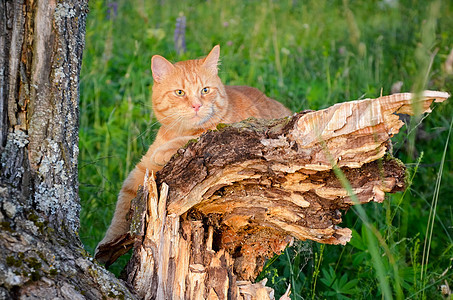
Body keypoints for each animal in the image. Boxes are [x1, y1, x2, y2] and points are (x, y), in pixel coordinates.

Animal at [96, 45, 292, 258]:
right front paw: (104, 247)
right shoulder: (140, 171)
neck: (177, 131)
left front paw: (164, 151)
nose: (197, 105)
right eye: (180, 92)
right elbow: (121, 206)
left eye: (205, 90)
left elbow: (189, 140)